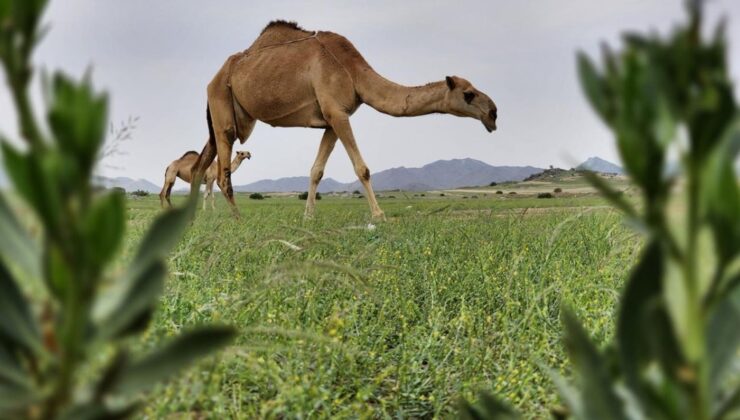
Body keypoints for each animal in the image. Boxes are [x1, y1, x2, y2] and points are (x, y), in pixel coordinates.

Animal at [197, 20, 498, 220]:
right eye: (469, 94)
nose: (493, 113)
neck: (353, 71)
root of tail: (213, 79)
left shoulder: (332, 119)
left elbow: (316, 170)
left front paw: (308, 217)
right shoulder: (336, 112)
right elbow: (361, 168)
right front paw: (379, 215)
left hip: (224, 116)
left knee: (205, 161)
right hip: (222, 107)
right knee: (222, 172)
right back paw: (238, 219)